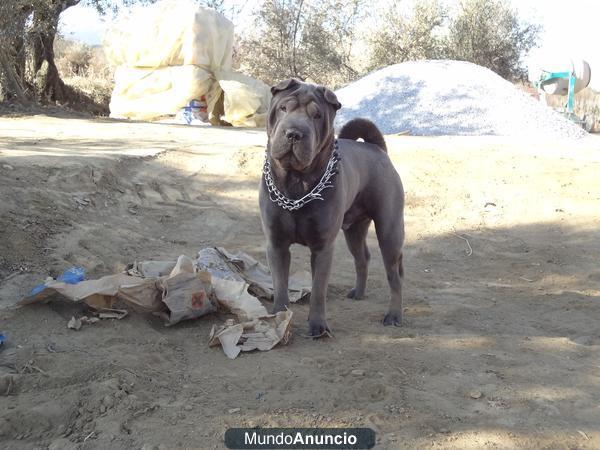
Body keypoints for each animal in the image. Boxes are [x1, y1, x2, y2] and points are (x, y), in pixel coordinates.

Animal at [258, 79, 404, 336]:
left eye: (316, 115)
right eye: (284, 108)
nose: (294, 133)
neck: (297, 183)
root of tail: (377, 149)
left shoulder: (323, 247)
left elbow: (318, 290)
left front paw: (318, 326)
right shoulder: (276, 245)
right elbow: (280, 285)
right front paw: (279, 318)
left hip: (389, 231)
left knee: (394, 276)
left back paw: (394, 315)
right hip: (354, 229)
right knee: (362, 257)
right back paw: (359, 293)